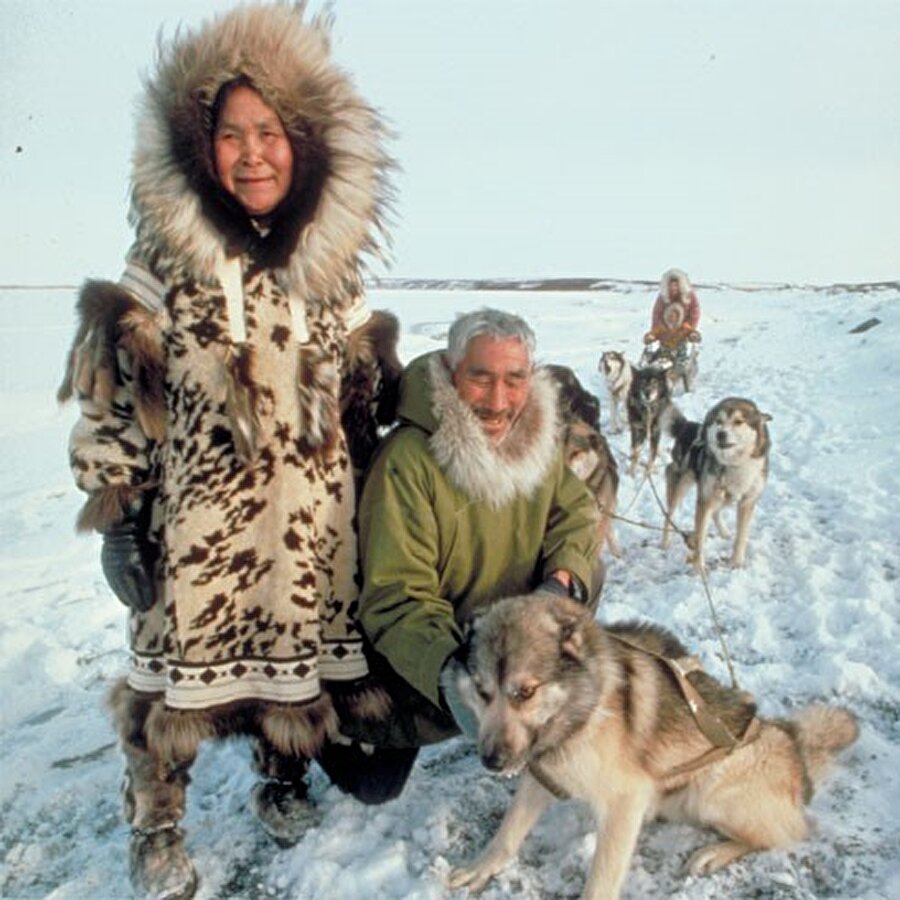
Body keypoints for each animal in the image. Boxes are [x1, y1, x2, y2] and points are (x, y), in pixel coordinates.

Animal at [446, 592, 860, 900]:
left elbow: (601, 879)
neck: (582, 713)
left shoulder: (624, 801)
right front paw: (481, 866)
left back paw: (714, 853)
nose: (492, 761)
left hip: (714, 792)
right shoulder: (542, 774)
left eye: (526, 692)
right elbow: (508, 831)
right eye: (483, 692)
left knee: (786, 833)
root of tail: (794, 747)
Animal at [660, 400, 772, 572]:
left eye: (738, 421)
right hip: (683, 487)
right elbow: (700, 537)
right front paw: (699, 569)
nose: (721, 434)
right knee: (669, 515)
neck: (734, 465)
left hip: (722, 495)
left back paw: (724, 532)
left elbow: (741, 536)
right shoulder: (704, 500)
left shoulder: (747, 501)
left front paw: (736, 562)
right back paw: (665, 543)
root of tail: (688, 426)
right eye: (719, 421)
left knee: (716, 512)